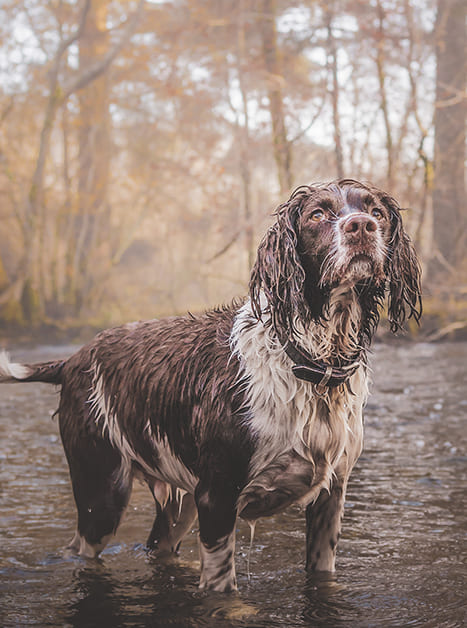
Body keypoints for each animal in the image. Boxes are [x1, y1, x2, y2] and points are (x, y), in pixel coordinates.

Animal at [0, 179, 422, 592]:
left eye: (376, 211)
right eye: (317, 214)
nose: (362, 227)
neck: (308, 361)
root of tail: (72, 359)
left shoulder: (330, 499)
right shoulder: (217, 497)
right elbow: (222, 587)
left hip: (177, 506)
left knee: (157, 545)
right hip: (102, 493)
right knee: (81, 547)